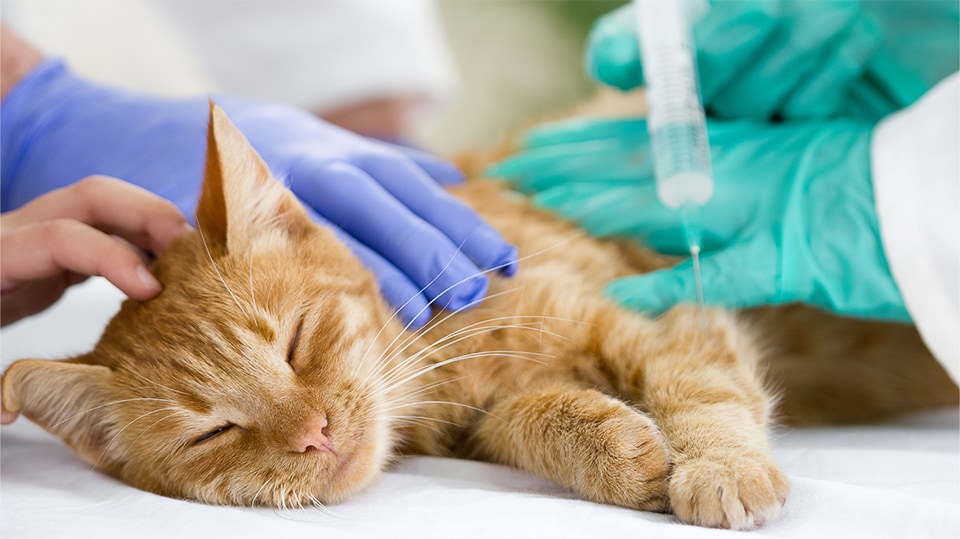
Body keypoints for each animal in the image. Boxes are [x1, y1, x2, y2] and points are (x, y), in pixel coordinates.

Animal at [3, 103, 956, 528]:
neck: (446, 349)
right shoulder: (485, 420)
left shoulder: (668, 318)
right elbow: (531, 419)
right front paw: (619, 452)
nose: (313, 434)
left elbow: (705, 395)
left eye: (297, 342)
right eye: (213, 431)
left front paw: (718, 466)